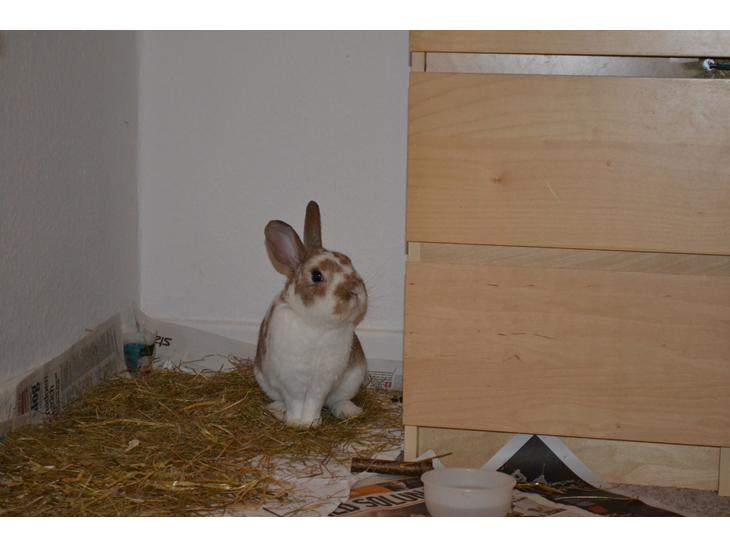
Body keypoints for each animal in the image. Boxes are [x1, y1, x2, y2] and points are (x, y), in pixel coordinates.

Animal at [254, 200, 368, 429]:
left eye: (349, 260)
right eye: (316, 275)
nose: (356, 291)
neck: (317, 325)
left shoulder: (323, 380)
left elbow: (315, 401)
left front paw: (312, 422)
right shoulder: (292, 379)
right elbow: (296, 401)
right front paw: (296, 423)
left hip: (352, 380)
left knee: (338, 400)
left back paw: (348, 411)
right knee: (280, 399)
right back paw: (278, 409)